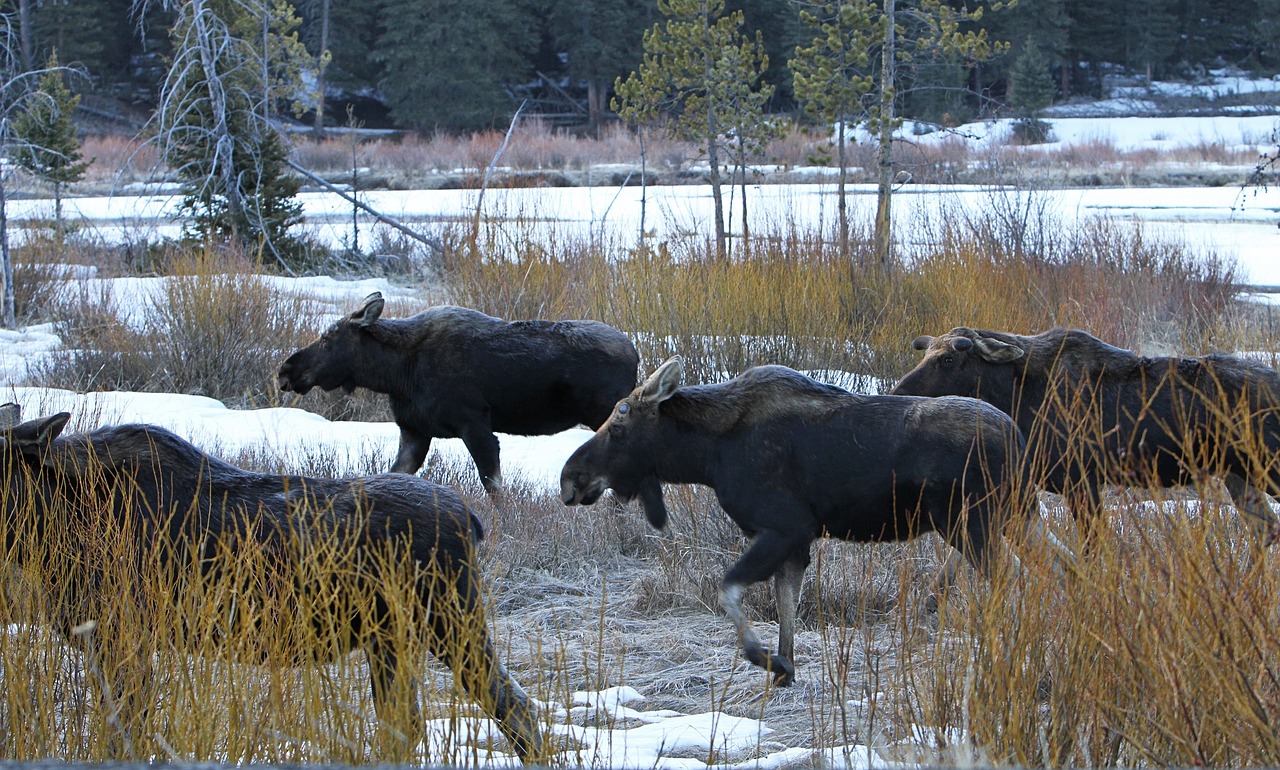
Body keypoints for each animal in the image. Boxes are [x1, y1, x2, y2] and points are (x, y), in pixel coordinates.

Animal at [0, 404, 540, 757]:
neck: (51, 524)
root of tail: (472, 521)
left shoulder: (121, 639)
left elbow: (123, 735)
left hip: (449, 623)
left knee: (517, 709)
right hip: (391, 640)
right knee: (406, 729)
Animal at [280, 290, 640, 488]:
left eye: (327, 338)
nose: (286, 370)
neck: (396, 373)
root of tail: (635, 354)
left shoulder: (474, 423)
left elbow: (493, 485)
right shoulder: (414, 430)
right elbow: (395, 473)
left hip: (605, 414)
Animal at [560, 355, 1029, 680]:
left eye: (617, 427)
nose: (569, 478)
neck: (707, 455)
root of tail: (1017, 437)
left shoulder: (785, 529)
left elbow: (729, 590)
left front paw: (764, 658)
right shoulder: (797, 543)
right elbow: (786, 612)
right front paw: (783, 669)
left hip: (973, 524)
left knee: (1015, 581)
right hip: (1011, 520)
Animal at [890, 326, 1280, 542]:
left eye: (948, 360)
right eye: (927, 355)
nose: (897, 391)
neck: (1016, 397)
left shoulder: (1080, 480)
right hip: (1239, 473)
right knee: (1266, 532)